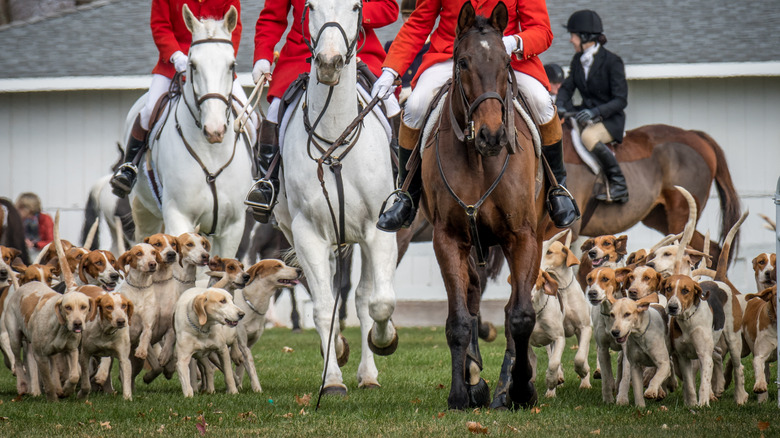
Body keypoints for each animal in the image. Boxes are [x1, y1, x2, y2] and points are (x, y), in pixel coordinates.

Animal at [128, 5, 250, 256]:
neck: (212, 152)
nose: (215, 130)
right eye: (193, 65)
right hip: (144, 213)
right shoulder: (178, 217)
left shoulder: (233, 227)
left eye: (232, 65)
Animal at [272, 0, 396, 396]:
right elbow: (324, 306)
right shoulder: (309, 234)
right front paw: (332, 380)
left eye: (356, 6)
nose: (328, 63)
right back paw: (339, 350)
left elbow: (378, 302)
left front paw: (384, 341)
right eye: (310, 6)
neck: (335, 139)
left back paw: (369, 373)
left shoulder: (378, 230)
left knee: (364, 297)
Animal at [420, 2, 544, 410]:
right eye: (462, 62)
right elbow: (459, 320)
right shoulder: (447, 239)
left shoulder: (523, 236)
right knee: (473, 299)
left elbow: (520, 316)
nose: (493, 135)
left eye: (506, 61)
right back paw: (475, 377)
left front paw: (520, 388)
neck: (479, 159)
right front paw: (462, 392)